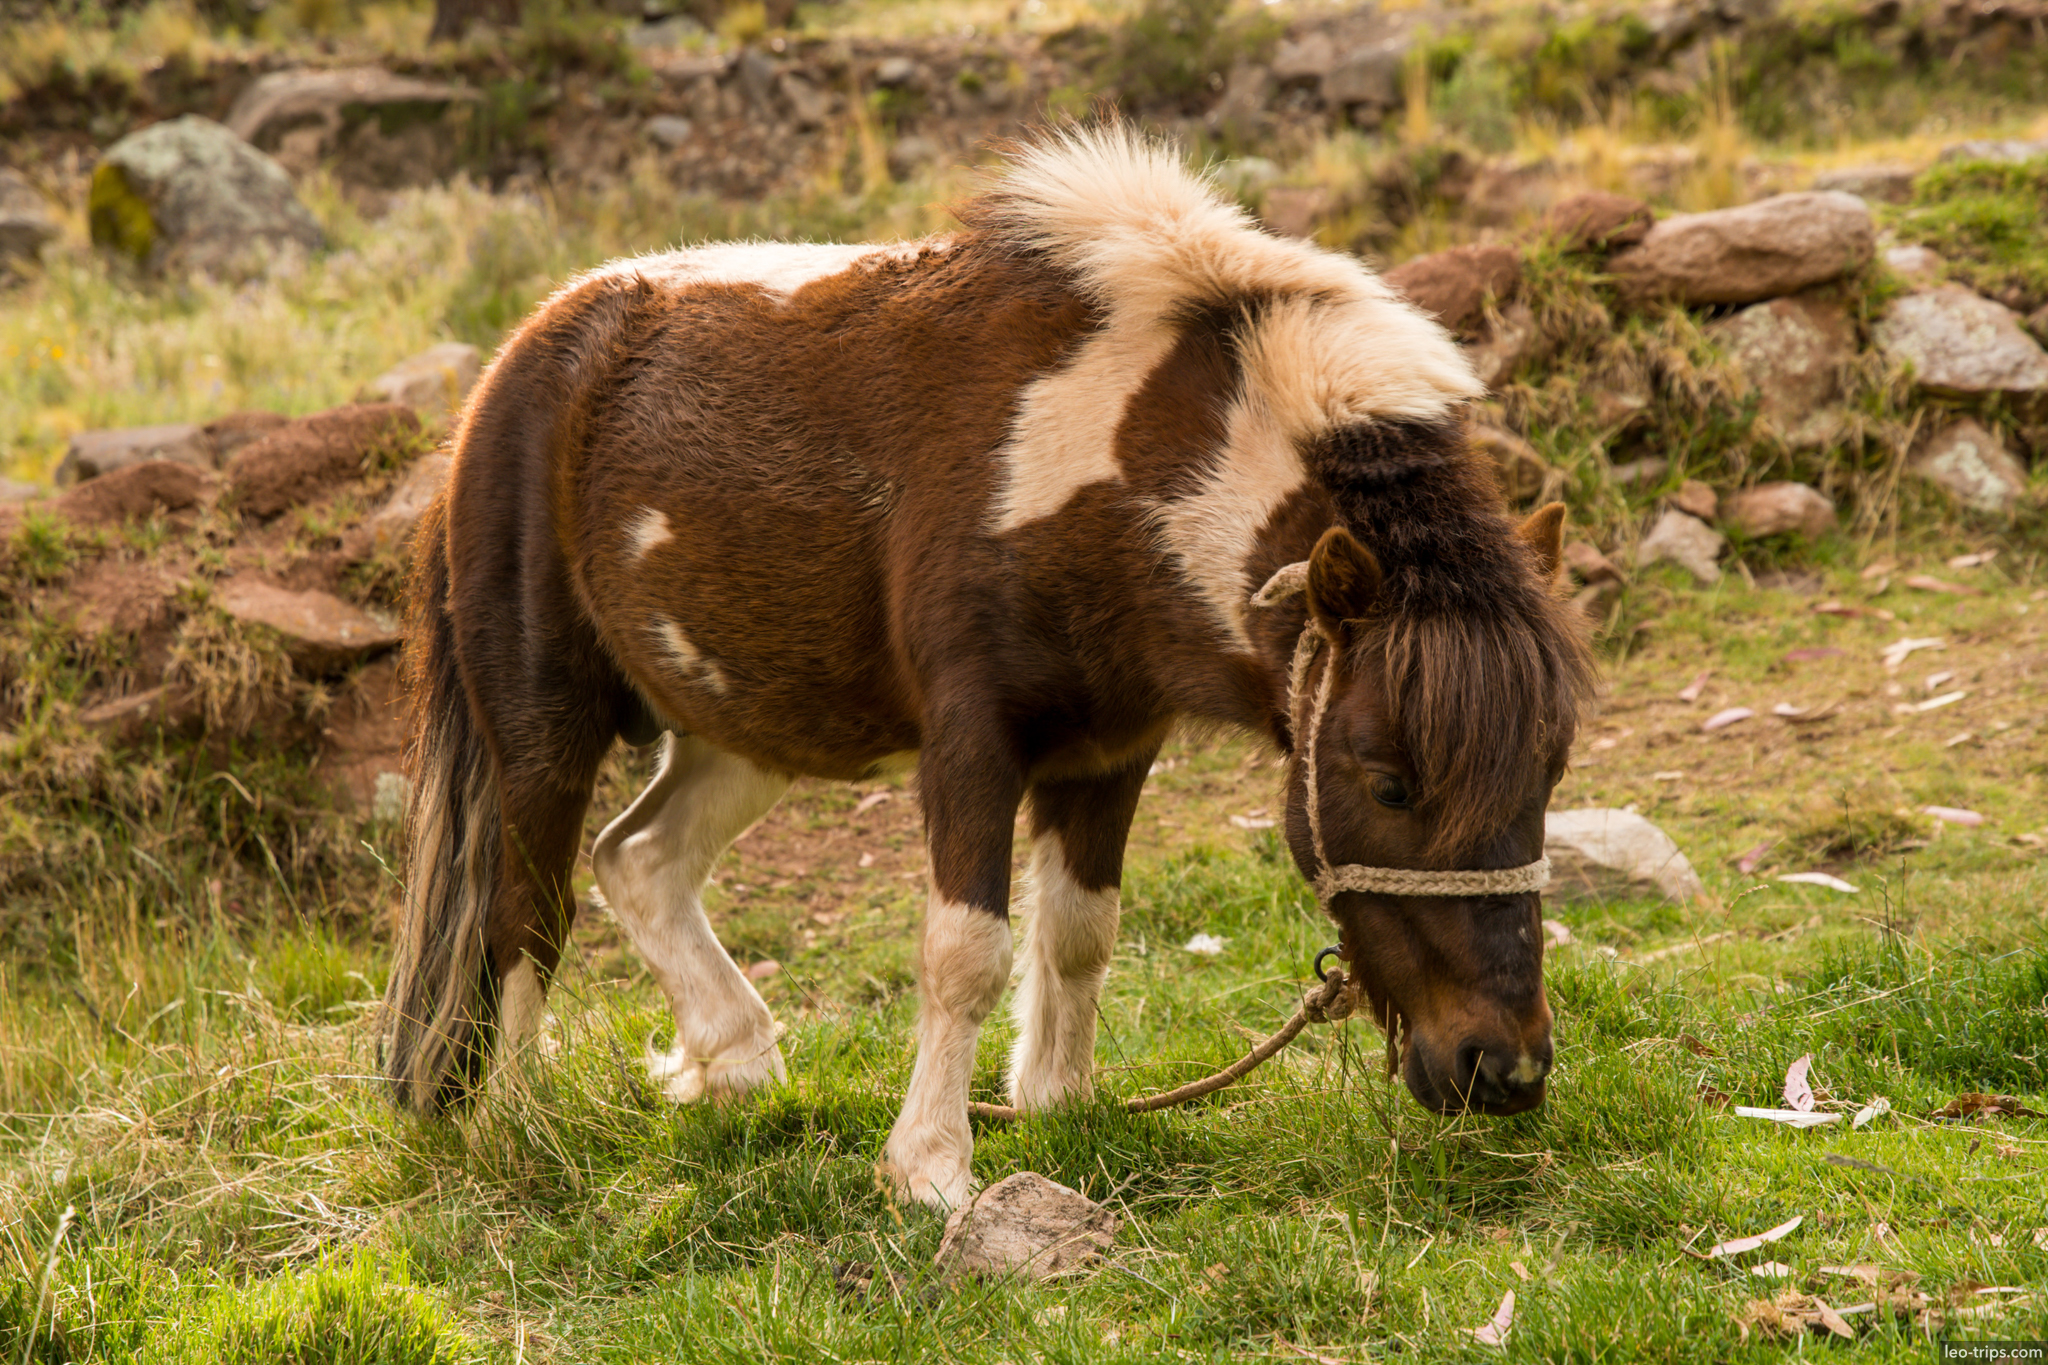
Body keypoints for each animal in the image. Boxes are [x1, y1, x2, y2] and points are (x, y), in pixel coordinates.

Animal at [379, 126, 1596, 1210]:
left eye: (1548, 777)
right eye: (1388, 782)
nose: (1503, 1069)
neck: (1117, 457)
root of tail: (514, 368)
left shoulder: (1109, 749)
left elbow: (1079, 933)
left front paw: (1057, 1106)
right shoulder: (973, 741)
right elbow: (965, 949)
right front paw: (930, 1171)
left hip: (745, 721)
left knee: (638, 858)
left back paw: (735, 1063)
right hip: (542, 722)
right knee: (526, 912)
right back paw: (516, 1128)